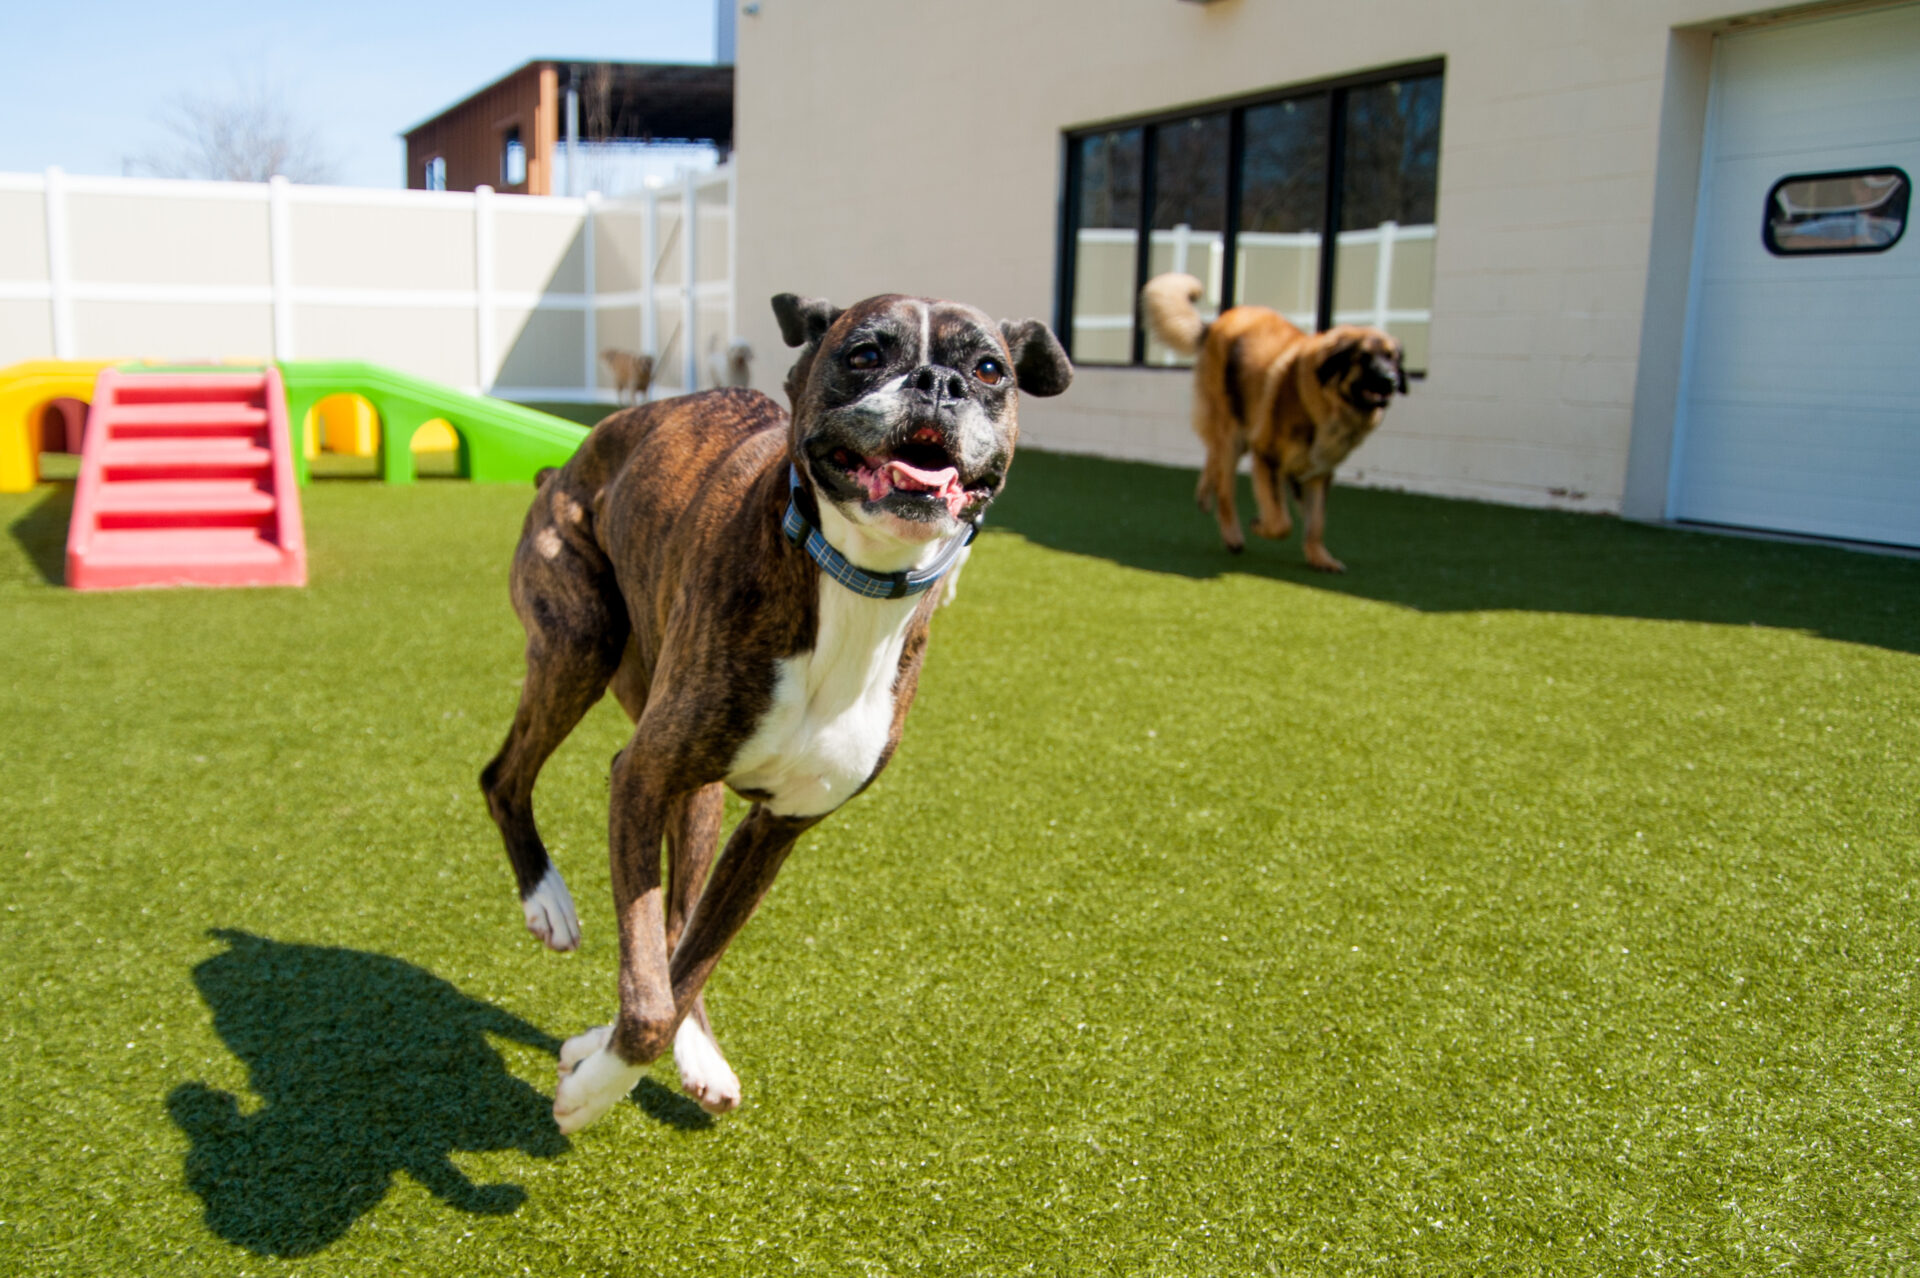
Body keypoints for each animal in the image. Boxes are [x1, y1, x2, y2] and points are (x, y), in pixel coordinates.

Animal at [480, 285, 1075, 1128]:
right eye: (865, 353)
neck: (856, 584)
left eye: (990, 369)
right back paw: (547, 902)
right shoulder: (641, 776)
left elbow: (680, 972)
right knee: (504, 775)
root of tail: (570, 457)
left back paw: (689, 1051)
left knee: (674, 923)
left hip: (691, 792)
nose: (940, 384)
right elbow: (650, 1002)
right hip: (579, 642)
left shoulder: (777, 829)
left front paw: (595, 1056)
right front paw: (588, 1096)